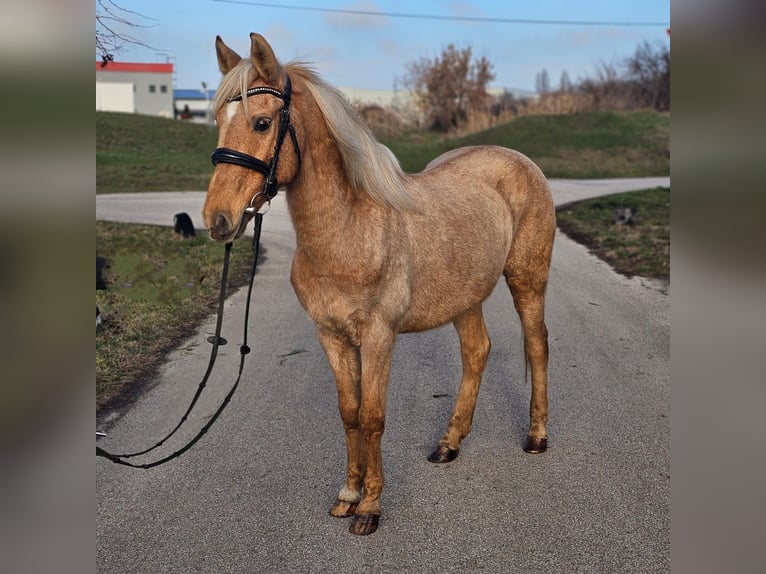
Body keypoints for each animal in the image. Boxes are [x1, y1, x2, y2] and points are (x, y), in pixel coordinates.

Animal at [203, 33, 556, 536]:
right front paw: (348, 495)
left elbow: (372, 417)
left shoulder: (378, 337)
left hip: (527, 279)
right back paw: (448, 443)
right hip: (464, 297)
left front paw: (369, 507)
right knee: (477, 352)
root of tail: (517, 160)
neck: (349, 229)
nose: (218, 220)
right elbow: (349, 414)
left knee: (537, 346)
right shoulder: (331, 335)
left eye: (262, 122)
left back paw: (536, 435)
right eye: (217, 121)